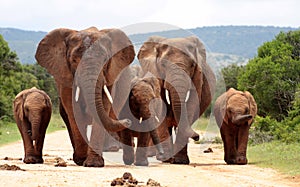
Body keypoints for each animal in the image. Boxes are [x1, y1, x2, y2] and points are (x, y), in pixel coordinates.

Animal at [35, 26, 135, 167]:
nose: (128, 121)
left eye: (105, 60)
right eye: (74, 61)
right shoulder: (65, 77)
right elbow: (73, 110)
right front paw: (82, 160)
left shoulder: (109, 77)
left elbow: (103, 106)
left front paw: (94, 163)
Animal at [138, 35, 216, 164]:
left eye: (192, 65)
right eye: (163, 65)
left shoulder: (198, 76)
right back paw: (163, 158)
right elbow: (162, 105)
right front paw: (166, 159)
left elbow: (192, 104)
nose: (197, 137)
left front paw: (180, 161)